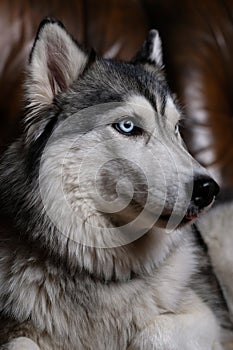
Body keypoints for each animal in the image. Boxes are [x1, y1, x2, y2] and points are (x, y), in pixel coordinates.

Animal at [0, 17, 231, 348]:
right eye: (127, 127)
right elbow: (20, 343)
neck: (105, 273)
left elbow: (155, 330)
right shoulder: (14, 328)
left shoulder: (210, 319)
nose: (208, 188)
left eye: (176, 129)